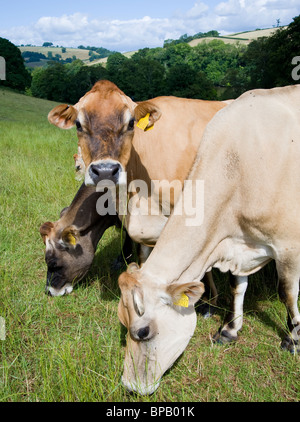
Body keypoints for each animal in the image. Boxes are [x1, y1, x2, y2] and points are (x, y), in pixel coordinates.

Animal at [117, 85, 300, 396]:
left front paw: (293, 339)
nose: (129, 386)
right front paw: (229, 330)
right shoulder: (236, 241)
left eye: (143, 331)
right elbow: (237, 287)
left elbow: (286, 292)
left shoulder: (289, 245)